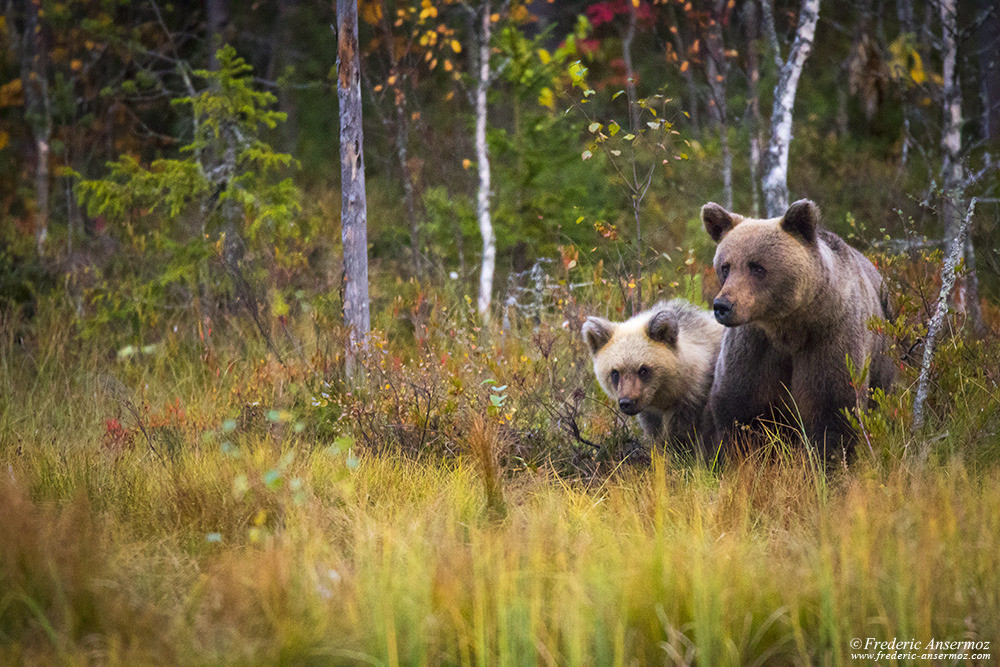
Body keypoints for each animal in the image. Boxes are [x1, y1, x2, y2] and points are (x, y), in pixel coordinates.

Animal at [700, 198, 896, 460]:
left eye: (757, 267)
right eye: (725, 266)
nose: (722, 305)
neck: (787, 327)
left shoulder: (830, 338)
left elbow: (833, 413)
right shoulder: (753, 347)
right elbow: (740, 412)